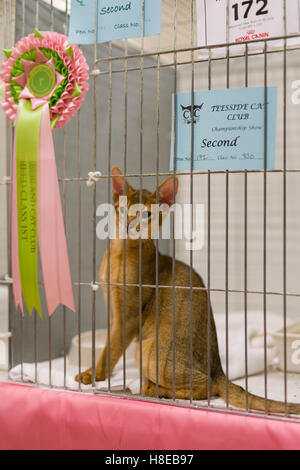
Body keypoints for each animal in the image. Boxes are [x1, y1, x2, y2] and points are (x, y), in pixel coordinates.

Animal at [76, 167, 300, 414]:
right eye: (124, 209)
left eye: (146, 215)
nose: (129, 225)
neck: (120, 255)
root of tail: (218, 369)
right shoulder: (114, 311)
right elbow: (108, 344)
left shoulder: (129, 317)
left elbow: (110, 350)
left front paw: (92, 375)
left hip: (147, 350)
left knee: (207, 387)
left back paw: (153, 388)